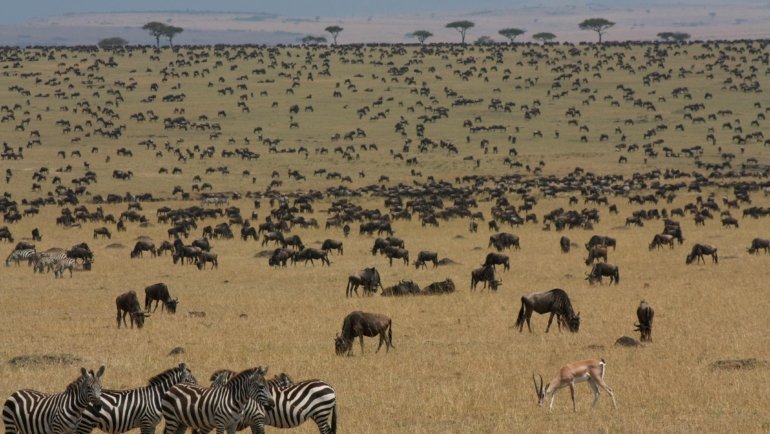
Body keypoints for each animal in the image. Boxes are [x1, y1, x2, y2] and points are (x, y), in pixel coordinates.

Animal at [207, 370, 337, 434]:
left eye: (215, 389)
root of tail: (330, 386)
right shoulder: (253, 422)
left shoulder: (258, 418)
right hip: (319, 414)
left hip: (321, 412)